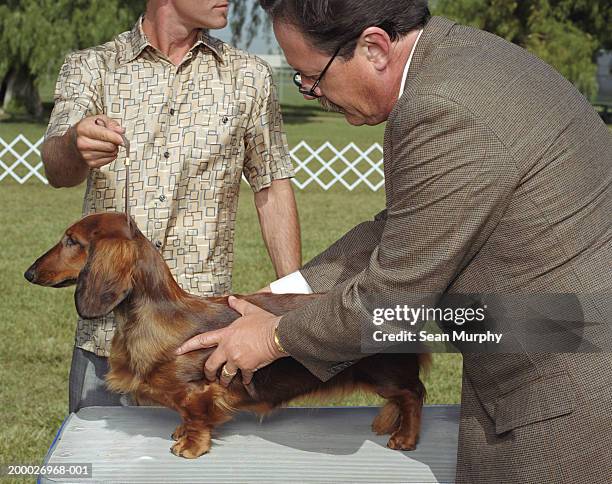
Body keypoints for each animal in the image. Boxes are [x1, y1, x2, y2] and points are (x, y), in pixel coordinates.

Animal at [26, 214, 428, 460]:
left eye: (71, 241)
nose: (28, 273)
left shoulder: (199, 390)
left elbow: (197, 418)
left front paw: (190, 446)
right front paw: (179, 433)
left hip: (387, 374)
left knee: (413, 396)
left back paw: (404, 437)